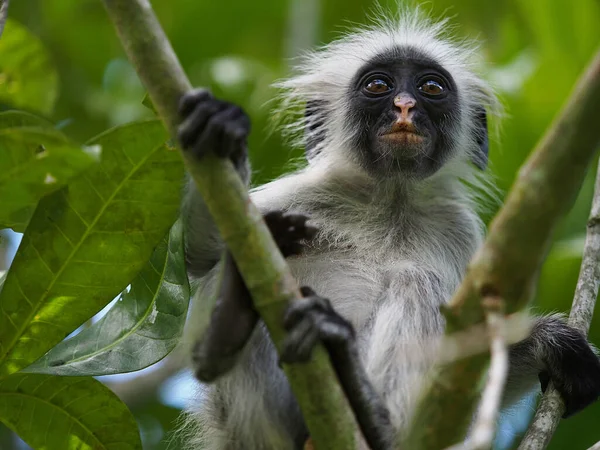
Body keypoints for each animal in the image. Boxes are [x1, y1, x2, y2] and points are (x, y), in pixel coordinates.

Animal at [179, 7, 600, 450]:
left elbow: (460, 371)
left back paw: (372, 418)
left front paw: (549, 344)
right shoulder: (302, 194)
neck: (391, 199)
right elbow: (200, 256)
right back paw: (229, 326)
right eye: (378, 85)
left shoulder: (460, 229)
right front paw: (223, 136)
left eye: (431, 87)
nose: (405, 105)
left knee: (415, 280)